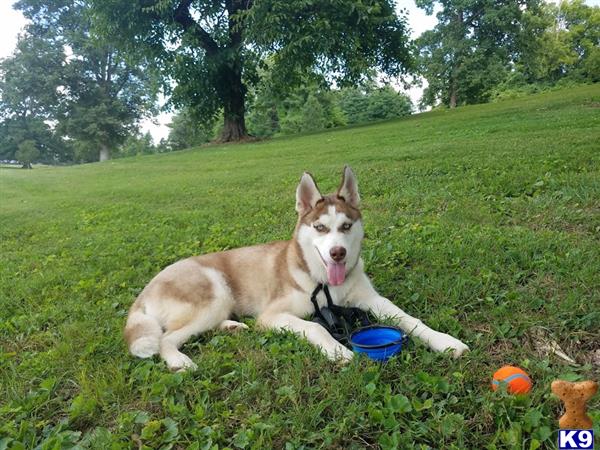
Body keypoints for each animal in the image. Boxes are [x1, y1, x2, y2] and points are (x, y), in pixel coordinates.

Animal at [125, 167, 468, 370]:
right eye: (320, 227)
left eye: (346, 226)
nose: (338, 253)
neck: (328, 285)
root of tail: (147, 288)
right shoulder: (272, 316)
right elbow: (316, 327)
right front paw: (337, 351)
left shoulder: (372, 300)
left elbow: (410, 320)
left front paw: (445, 342)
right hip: (214, 293)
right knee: (166, 338)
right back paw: (179, 361)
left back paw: (232, 327)